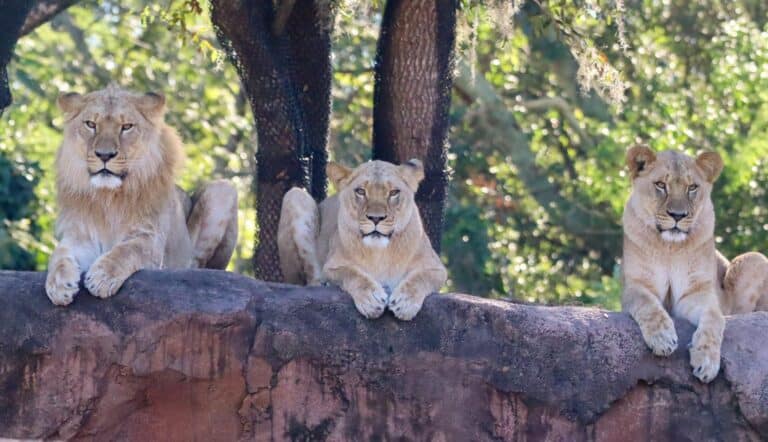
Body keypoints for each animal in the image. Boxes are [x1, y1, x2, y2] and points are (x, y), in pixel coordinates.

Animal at [45, 85, 238, 306]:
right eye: (91, 124)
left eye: (127, 126)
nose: (104, 155)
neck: (108, 197)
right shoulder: (80, 237)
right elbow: (59, 254)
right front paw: (58, 285)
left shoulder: (149, 238)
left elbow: (127, 250)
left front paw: (101, 278)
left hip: (222, 189)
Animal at [278, 159, 447, 320]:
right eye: (360, 191)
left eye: (393, 192)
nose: (376, 218)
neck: (380, 252)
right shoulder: (331, 266)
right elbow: (351, 273)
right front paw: (371, 299)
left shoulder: (437, 268)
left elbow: (421, 277)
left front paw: (405, 303)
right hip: (295, 195)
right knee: (310, 280)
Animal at [622, 145, 768, 383]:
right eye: (660, 185)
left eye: (692, 187)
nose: (677, 215)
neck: (669, 247)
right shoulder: (636, 285)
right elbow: (648, 305)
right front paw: (662, 339)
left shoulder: (696, 293)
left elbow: (714, 319)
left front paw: (706, 362)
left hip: (755, 259)